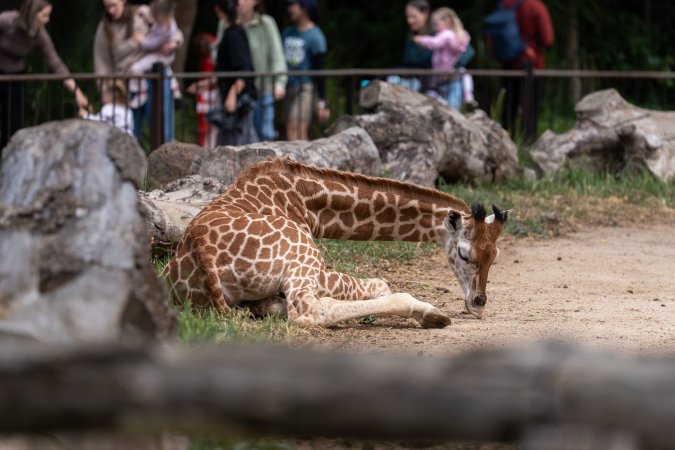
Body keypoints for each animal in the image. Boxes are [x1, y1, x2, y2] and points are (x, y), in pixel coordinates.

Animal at [162, 159, 508, 327]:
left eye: (495, 257)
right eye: (463, 254)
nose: (478, 303)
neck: (307, 200)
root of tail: (201, 248)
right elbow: (381, 284)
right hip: (304, 256)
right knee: (309, 310)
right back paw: (431, 314)